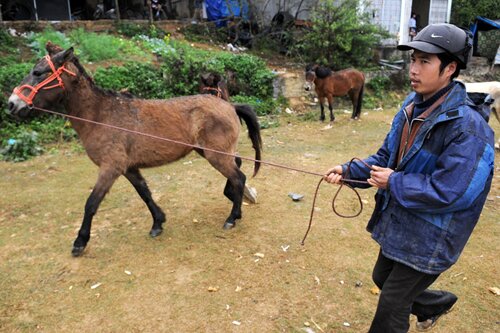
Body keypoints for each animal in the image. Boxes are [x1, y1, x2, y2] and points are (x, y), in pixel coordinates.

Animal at [7, 42, 264, 255]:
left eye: (38, 72)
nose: (12, 104)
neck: (100, 116)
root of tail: (229, 106)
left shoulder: (110, 168)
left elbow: (91, 203)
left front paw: (80, 241)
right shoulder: (128, 168)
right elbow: (145, 193)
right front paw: (158, 222)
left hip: (215, 154)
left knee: (239, 176)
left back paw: (232, 216)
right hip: (210, 151)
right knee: (237, 167)